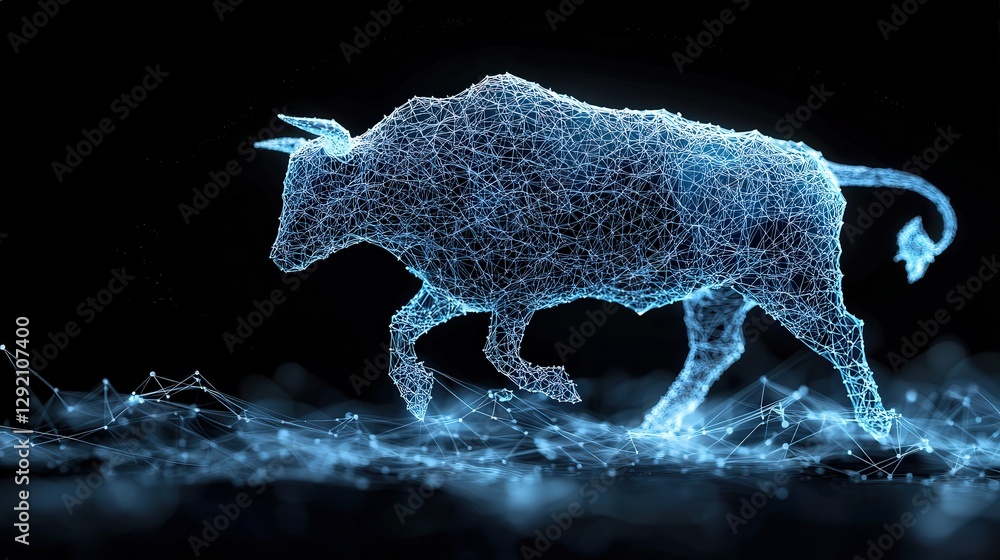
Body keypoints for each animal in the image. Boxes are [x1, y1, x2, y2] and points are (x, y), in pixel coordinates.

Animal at [255, 74, 956, 439]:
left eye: (318, 186)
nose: (281, 255)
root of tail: (819, 163)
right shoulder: (460, 287)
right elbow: (402, 328)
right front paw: (422, 400)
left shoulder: (516, 292)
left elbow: (496, 350)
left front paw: (559, 388)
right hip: (721, 291)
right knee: (715, 350)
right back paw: (654, 428)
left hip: (796, 283)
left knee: (844, 334)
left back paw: (877, 424)